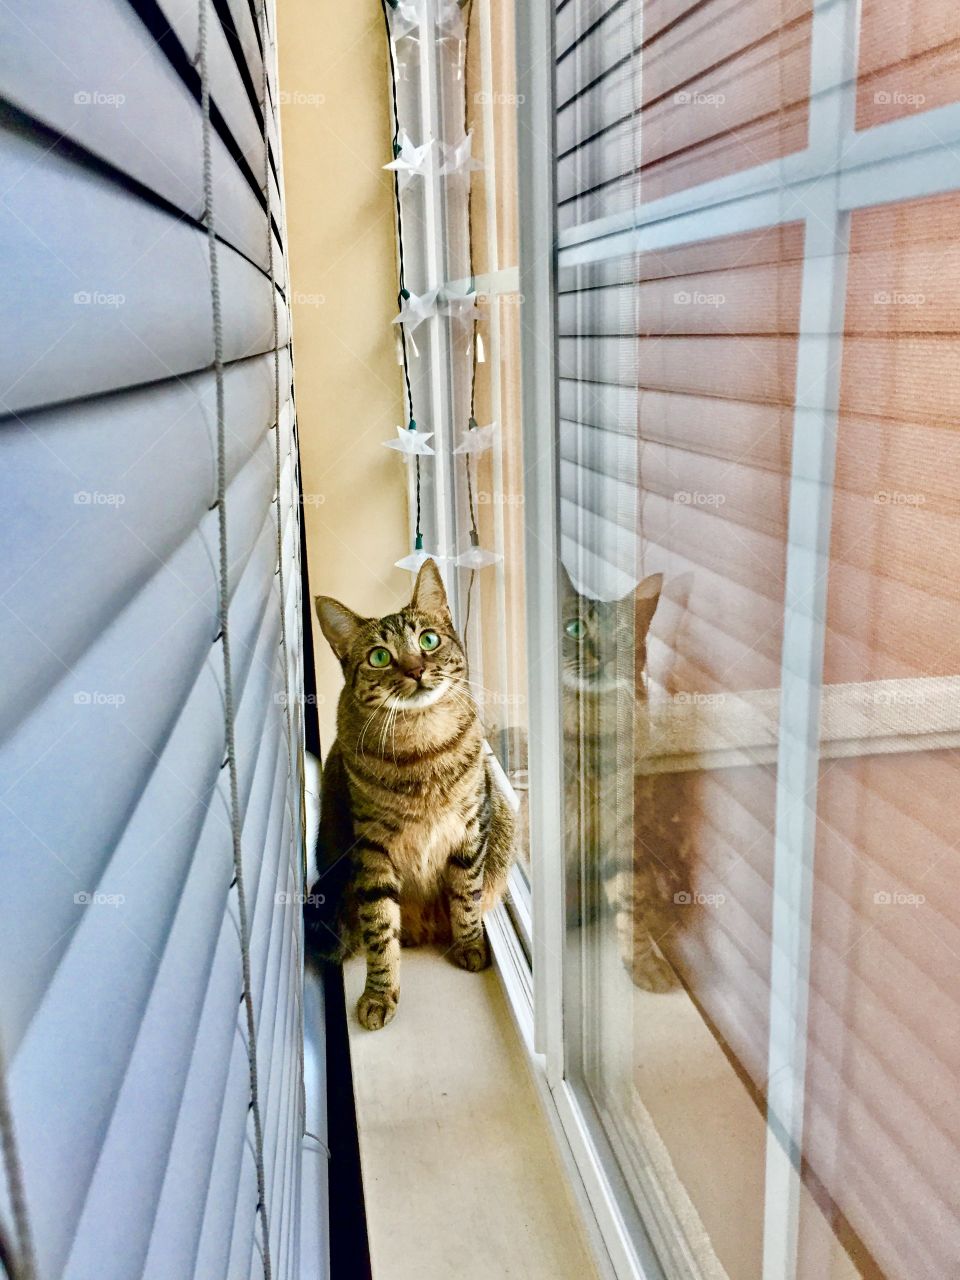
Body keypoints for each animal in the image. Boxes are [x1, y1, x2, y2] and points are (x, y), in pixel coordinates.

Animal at [308, 560, 519, 1029]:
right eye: (380, 656)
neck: (422, 747)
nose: (415, 669)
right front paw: (379, 992)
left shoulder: (472, 827)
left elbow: (466, 895)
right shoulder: (371, 849)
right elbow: (380, 927)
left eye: (428, 640)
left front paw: (469, 943)